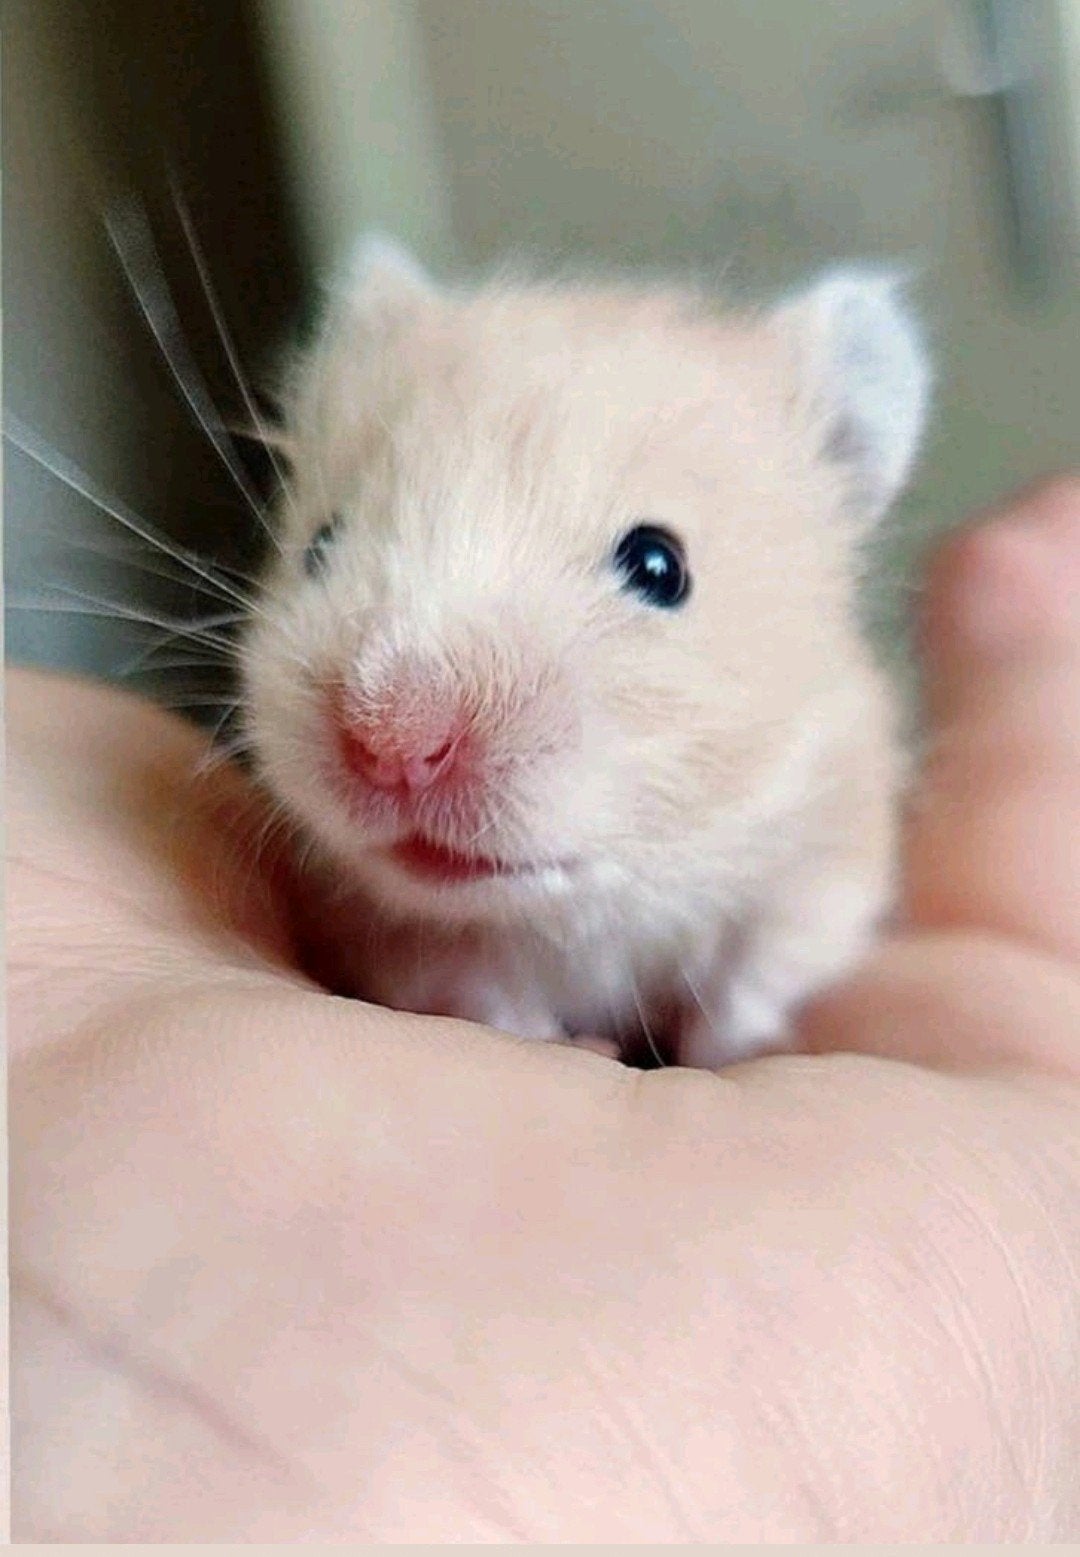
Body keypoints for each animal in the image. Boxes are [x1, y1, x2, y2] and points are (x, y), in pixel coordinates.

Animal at [239, 240, 930, 1068]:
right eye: (321, 543)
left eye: (661, 566)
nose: (392, 747)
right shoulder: (383, 934)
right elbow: (466, 977)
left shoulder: (828, 848)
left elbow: (760, 971)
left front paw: (726, 1043)